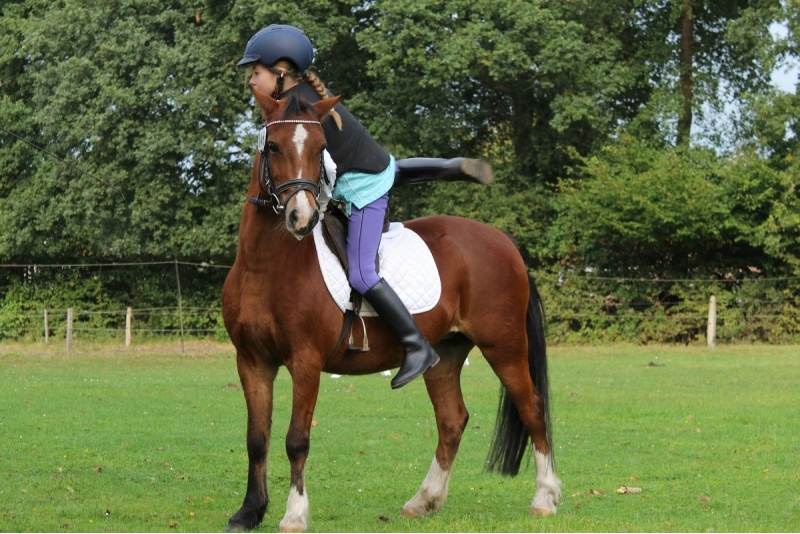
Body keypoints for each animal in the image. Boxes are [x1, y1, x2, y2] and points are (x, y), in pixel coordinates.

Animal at [221, 89, 561, 532]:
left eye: (320, 149)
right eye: (274, 146)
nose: (302, 216)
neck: (265, 266)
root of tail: (504, 242)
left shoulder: (305, 361)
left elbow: (296, 439)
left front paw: (294, 514)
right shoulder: (252, 361)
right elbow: (256, 439)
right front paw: (249, 511)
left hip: (503, 345)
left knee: (532, 408)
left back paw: (544, 499)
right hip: (446, 353)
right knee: (452, 420)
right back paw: (424, 500)